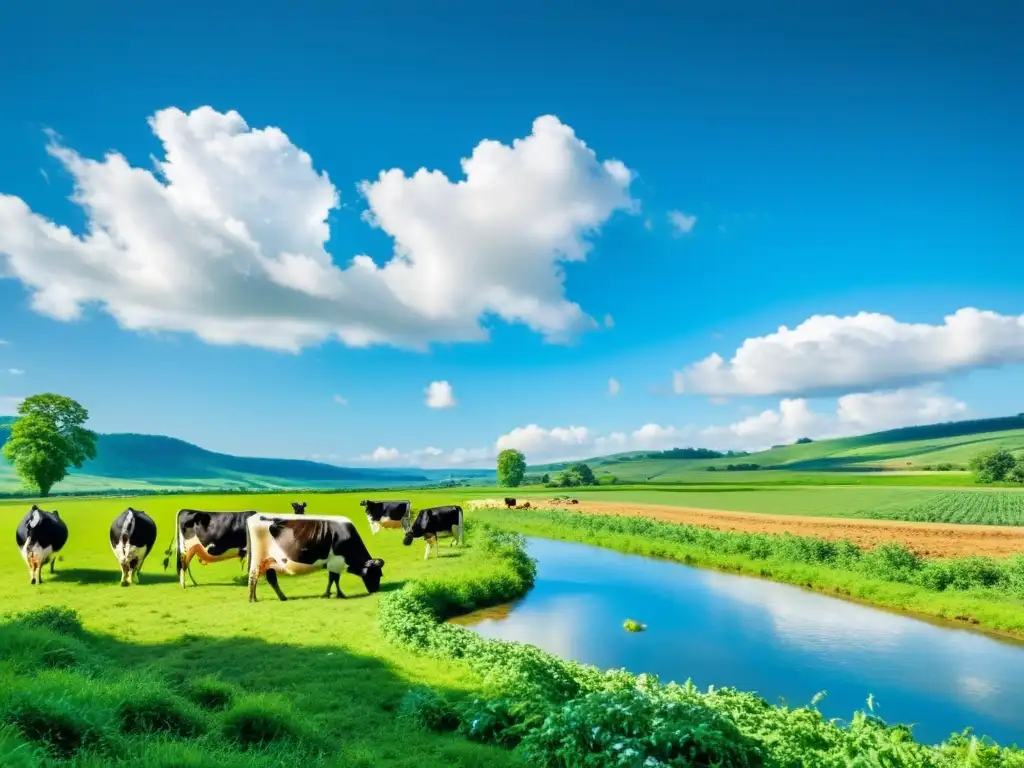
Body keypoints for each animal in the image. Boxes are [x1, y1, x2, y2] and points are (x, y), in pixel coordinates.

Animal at [245, 514, 385, 606]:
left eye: (380, 575)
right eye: (375, 574)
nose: (376, 591)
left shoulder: (333, 563)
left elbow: (332, 579)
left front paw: (331, 594)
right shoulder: (336, 562)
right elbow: (334, 579)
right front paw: (337, 595)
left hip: (268, 560)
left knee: (270, 578)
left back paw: (278, 597)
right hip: (258, 559)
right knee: (254, 576)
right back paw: (252, 599)